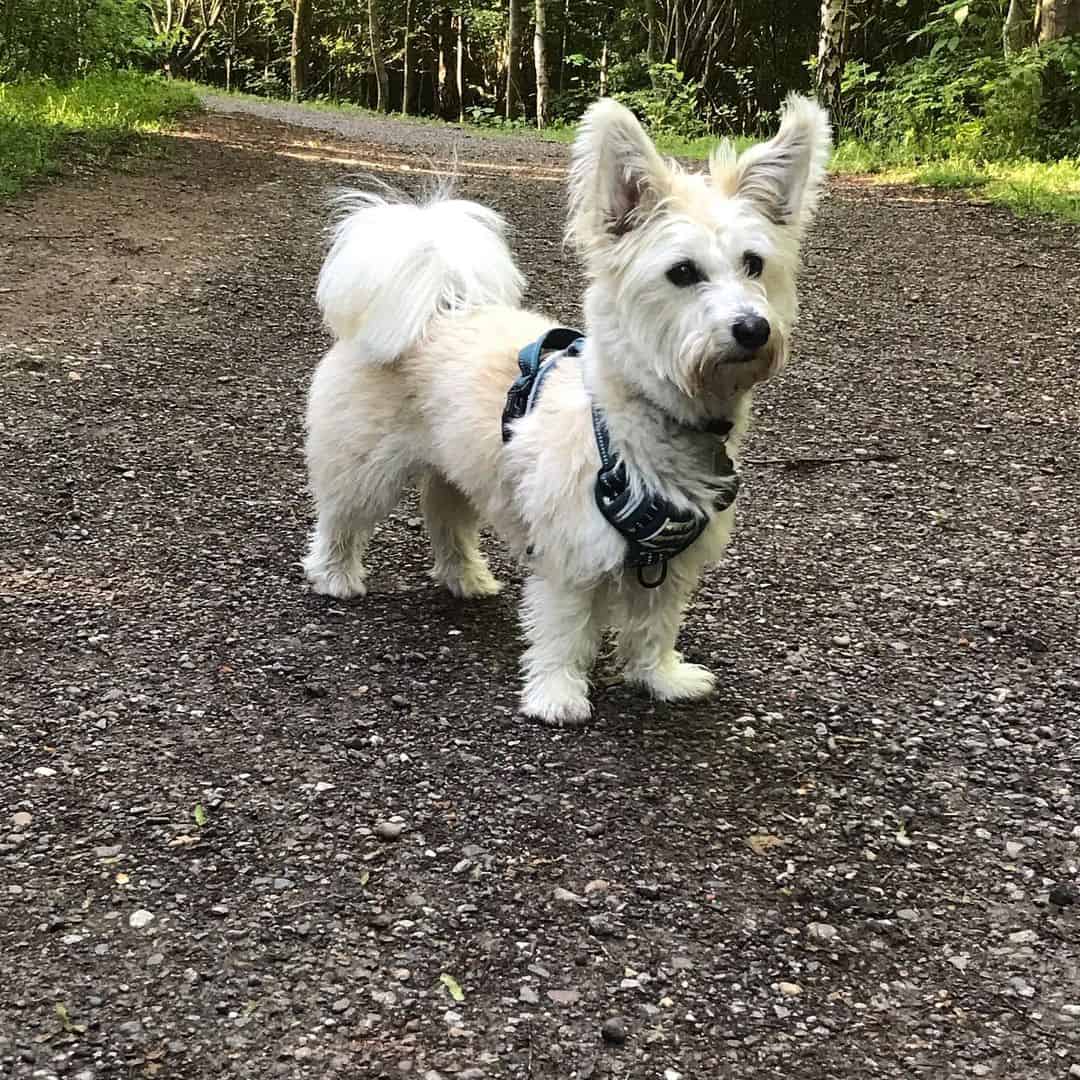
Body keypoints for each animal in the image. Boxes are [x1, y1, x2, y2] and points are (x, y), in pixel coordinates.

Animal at [306, 97, 833, 730]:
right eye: (682, 272)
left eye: (754, 264)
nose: (752, 329)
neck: (644, 426)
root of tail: (437, 308)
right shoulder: (571, 553)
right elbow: (564, 629)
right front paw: (557, 695)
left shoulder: (671, 562)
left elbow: (655, 625)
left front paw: (661, 677)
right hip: (362, 464)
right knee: (342, 519)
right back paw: (335, 577)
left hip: (461, 467)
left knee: (447, 520)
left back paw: (467, 578)